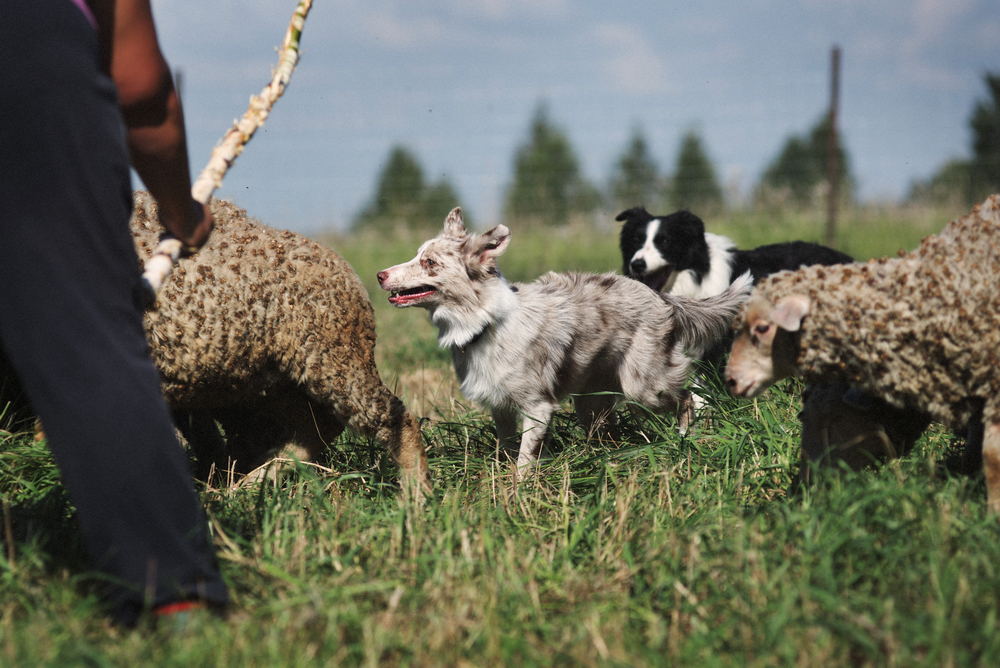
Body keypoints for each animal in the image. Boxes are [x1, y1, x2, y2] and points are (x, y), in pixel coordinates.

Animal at [132, 190, 430, 494]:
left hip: (330, 359)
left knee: (394, 419)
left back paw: (416, 497)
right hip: (249, 380)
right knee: (313, 425)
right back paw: (247, 484)